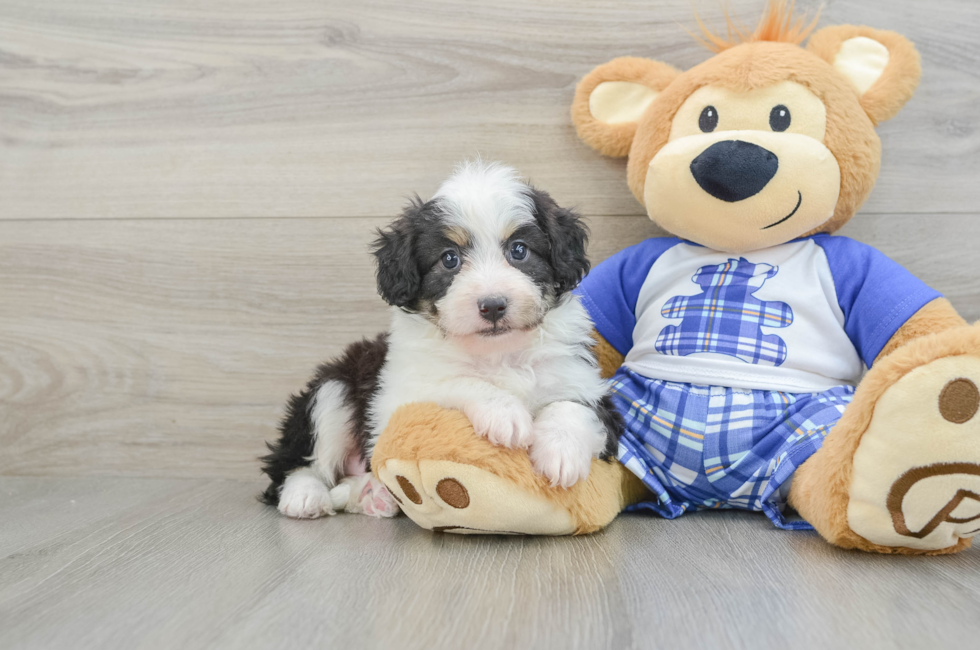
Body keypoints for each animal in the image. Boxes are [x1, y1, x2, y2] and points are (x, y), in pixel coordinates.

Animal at [256, 161, 616, 516]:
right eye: (449, 258)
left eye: (519, 250)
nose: (493, 305)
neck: (497, 352)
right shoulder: (395, 397)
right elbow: (456, 381)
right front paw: (505, 414)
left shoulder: (588, 385)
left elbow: (570, 406)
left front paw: (561, 453)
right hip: (331, 389)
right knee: (295, 464)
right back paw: (305, 497)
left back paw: (373, 495)